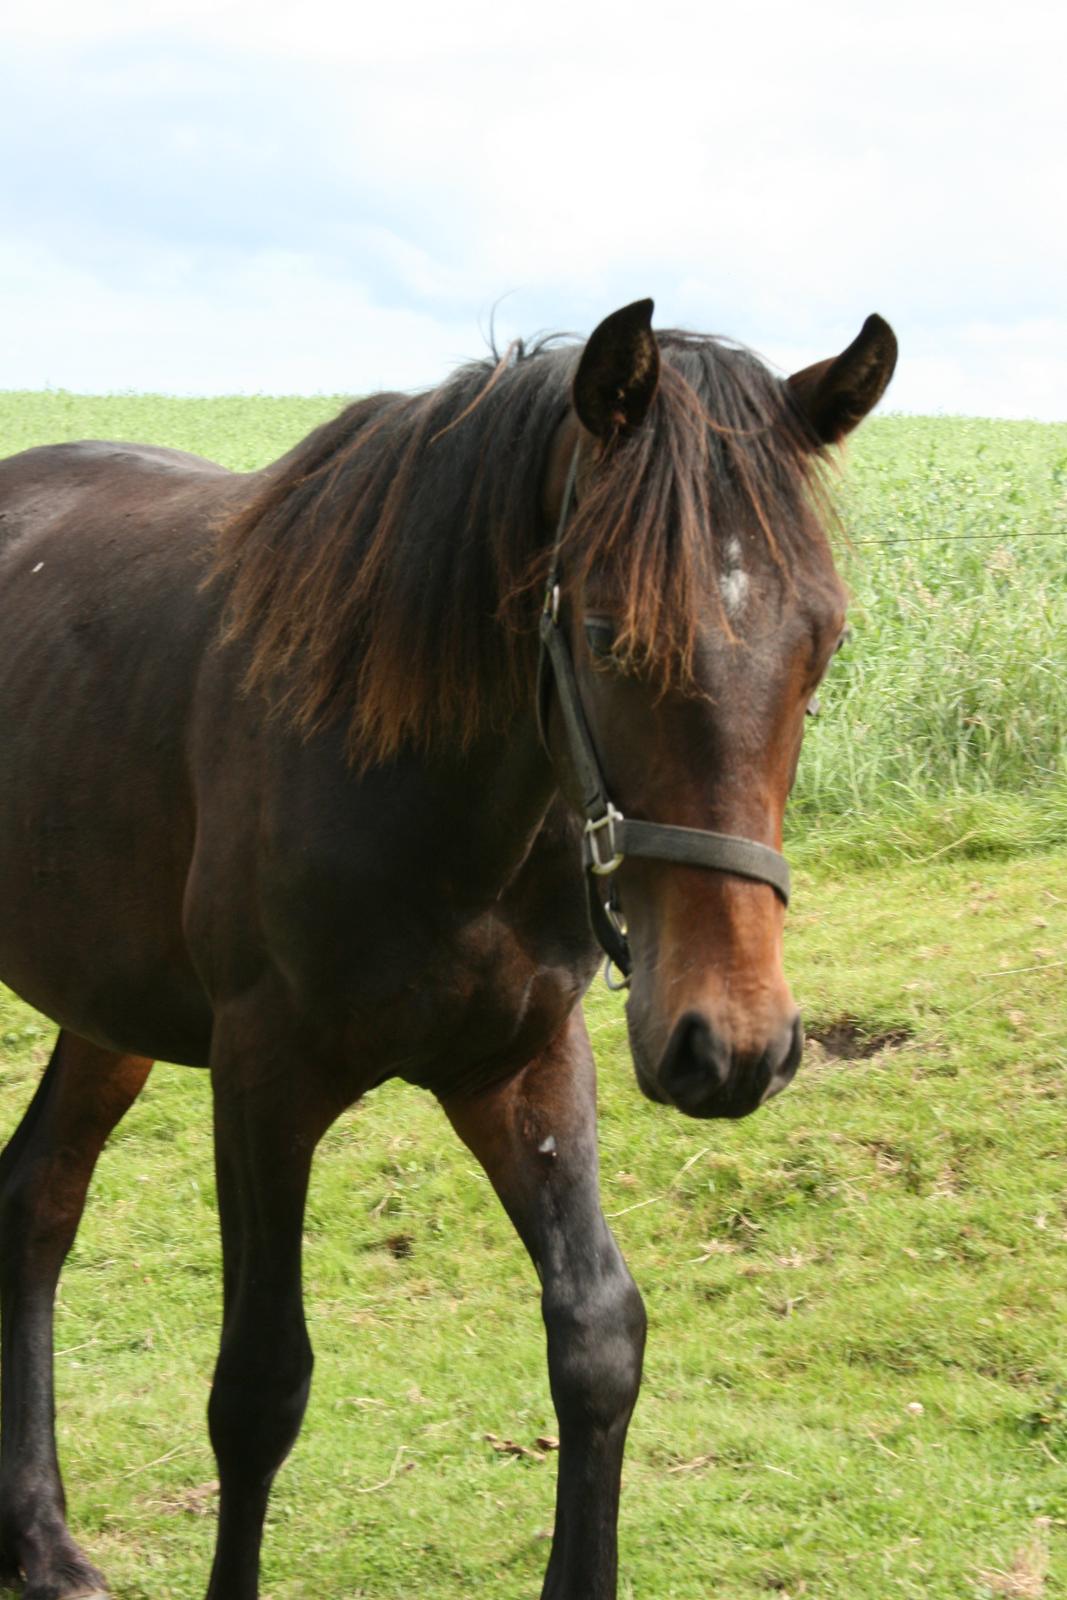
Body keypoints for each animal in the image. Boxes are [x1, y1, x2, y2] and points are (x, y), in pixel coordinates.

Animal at [0, 302, 895, 1600]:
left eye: (820, 639)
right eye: (604, 634)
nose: (729, 1044)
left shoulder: (519, 1062)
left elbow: (597, 1334)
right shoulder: (261, 1078)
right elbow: (257, 1387)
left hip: (108, 1005)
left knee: (38, 1197)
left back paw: (43, 1536)